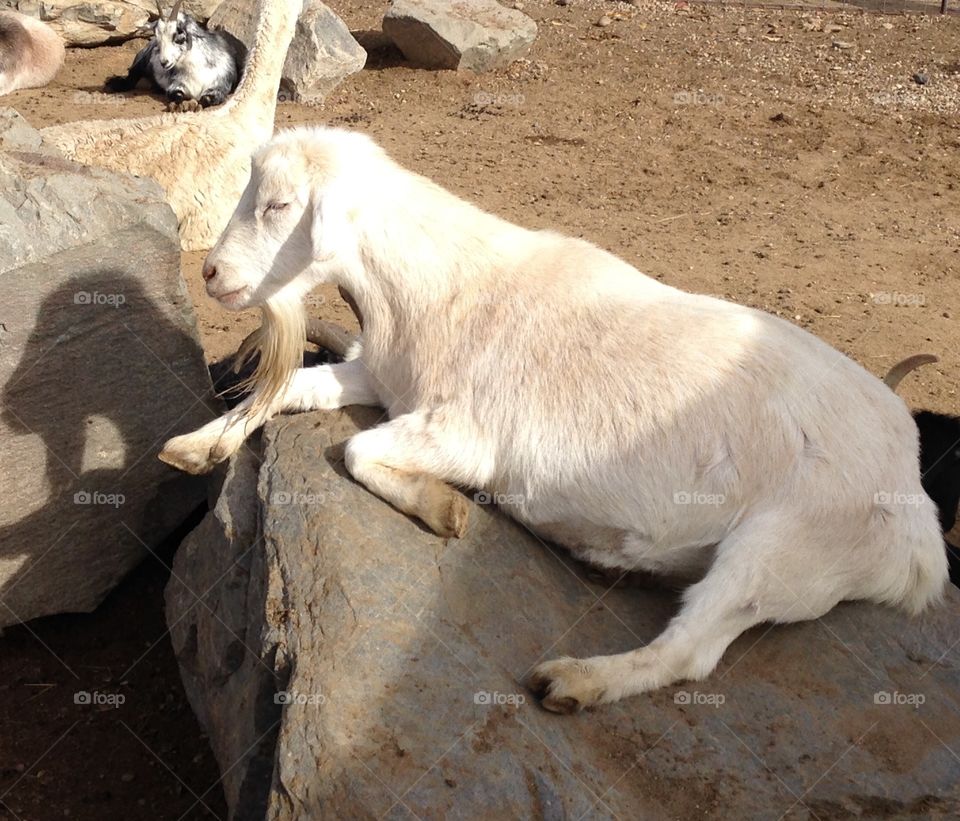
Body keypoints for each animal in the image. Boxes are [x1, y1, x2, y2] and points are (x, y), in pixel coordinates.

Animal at [105, 1, 244, 110]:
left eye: (179, 37)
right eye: (158, 38)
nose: (164, 62)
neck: (197, 71)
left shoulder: (221, 86)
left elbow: (206, 99)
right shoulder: (176, 84)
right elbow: (176, 95)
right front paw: (180, 106)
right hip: (141, 61)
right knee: (132, 76)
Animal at [160, 127, 948, 712]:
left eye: (279, 205)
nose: (211, 274)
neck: (435, 289)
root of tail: (917, 526)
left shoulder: (466, 436)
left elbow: (355, 453)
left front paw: (445, 509)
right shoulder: (380, 375)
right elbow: (292, 388)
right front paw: (194, 445)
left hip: (788, 544)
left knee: (694, 646)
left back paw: (575, 680)